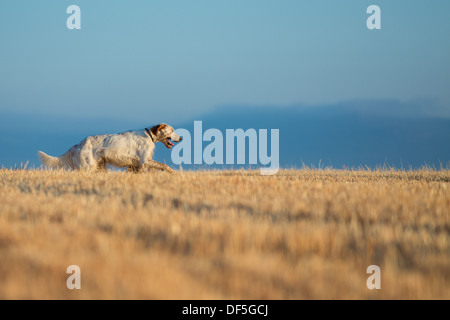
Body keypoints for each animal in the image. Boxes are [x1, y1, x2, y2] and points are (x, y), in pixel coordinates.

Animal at [37, 123, 181, 172]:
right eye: (172, 130)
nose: (180, 138)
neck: (149, 135)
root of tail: (77, 145)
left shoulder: (136, 165)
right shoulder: (144, 161)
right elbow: (165, 166)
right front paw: (174, 173)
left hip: (99, 166)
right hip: (88, 167)